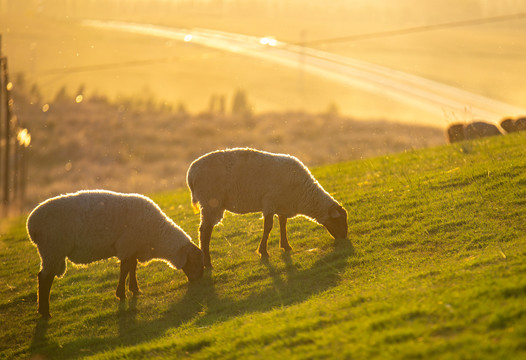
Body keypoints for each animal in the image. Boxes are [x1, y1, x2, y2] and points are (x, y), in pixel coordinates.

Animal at [26, 190, 204, 316]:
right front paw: (121, 294)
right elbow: (125, 269)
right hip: (52, 249)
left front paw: (135, 290)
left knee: (44, 277)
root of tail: (31, 224)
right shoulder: (127, 245)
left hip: (51, 251)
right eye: (195, 261)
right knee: (44, 278)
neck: (157, 236)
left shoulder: (133, 248)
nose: (198, 281)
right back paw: (45, 312)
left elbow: (132, 268)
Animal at [187, 146, 350, 268]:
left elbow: (283, 224)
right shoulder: (269, 203)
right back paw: (208, 263)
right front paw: (263, 252)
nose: (344, 238)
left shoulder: (282, 205)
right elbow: (268, 227)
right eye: (339, 221)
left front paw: (286, 246)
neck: (304, 194)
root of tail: (192, 171)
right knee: (205, 231)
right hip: (210, 202)